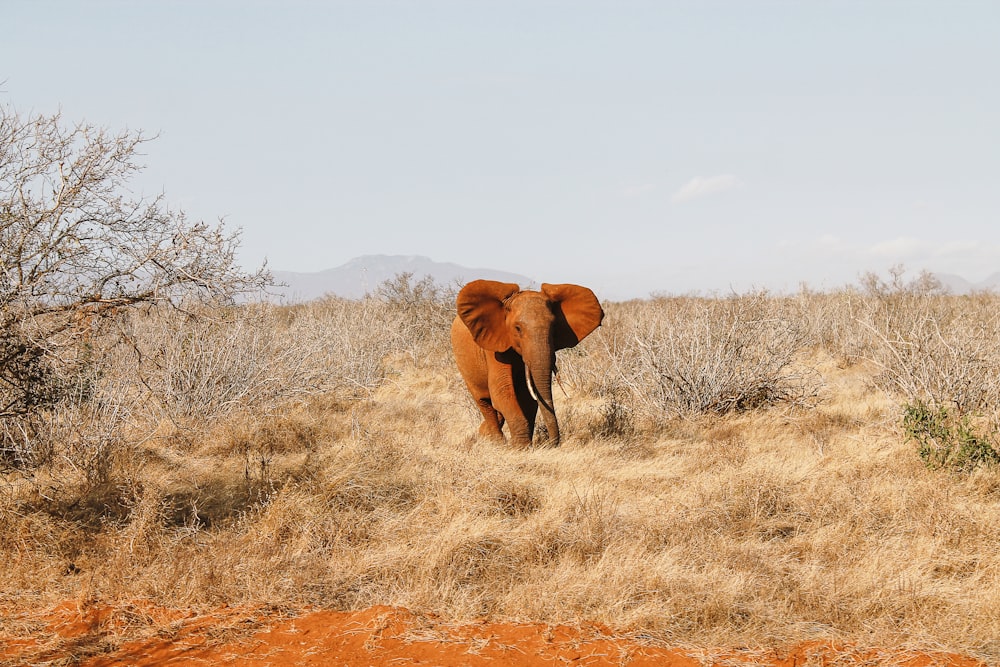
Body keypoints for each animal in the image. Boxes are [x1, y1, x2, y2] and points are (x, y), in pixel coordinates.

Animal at [452, 280, 604, 446]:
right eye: (517, 328)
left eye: (554, 327)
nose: (550, 444)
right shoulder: (494, 346)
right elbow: (502, 390)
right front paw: (521, 447)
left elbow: (528, 396)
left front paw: (525, 445)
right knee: (485, 402)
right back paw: (496, 442)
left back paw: (484, 433)